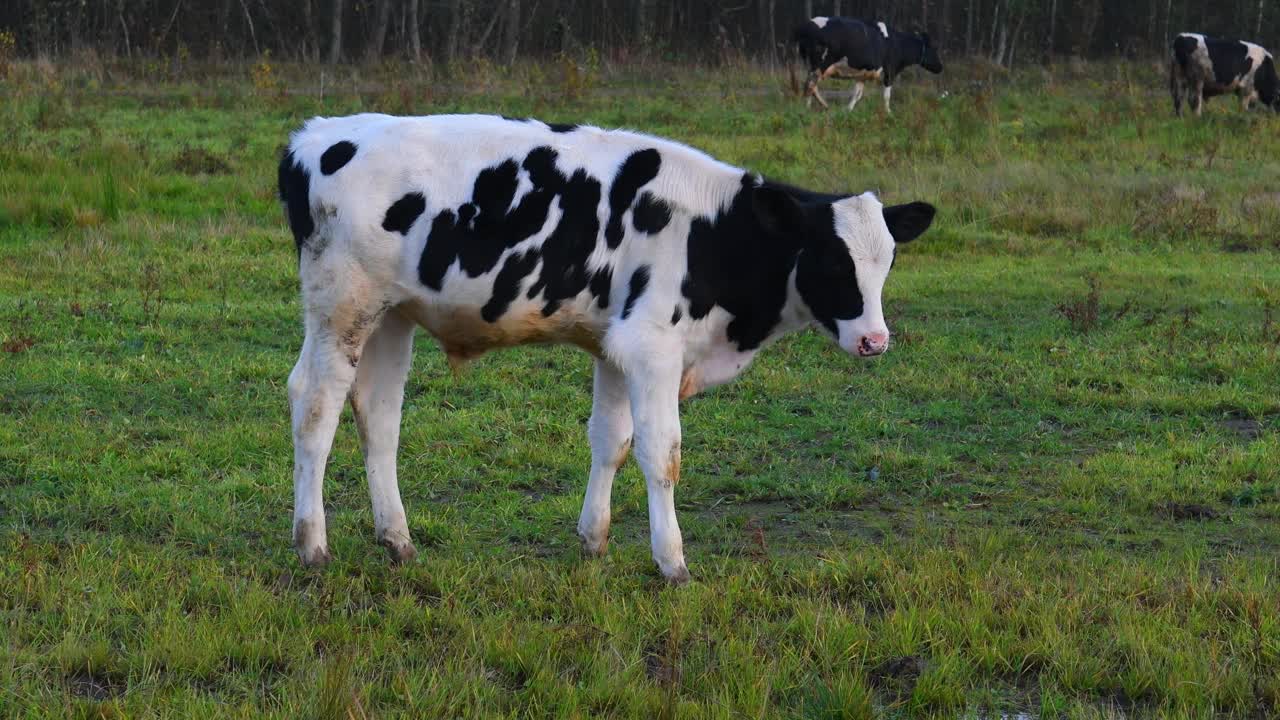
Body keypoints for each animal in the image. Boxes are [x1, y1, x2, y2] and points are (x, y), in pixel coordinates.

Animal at [275, 112, 936, 584]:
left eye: (887, 261)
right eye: (831, 260)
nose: (874, 340)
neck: (711, 233)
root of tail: (317, 134)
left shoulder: (616, 348)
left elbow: (611, 441)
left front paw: (593, 539)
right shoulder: (652, 348)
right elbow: (661, 454)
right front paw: (672, 562)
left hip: (391, 315)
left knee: (378, 416)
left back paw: (398, 541)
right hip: (342, 308)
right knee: (314, 405)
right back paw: (312, 545)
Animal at [788, 16, 942, 111]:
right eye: (934, 49)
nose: (941, 67)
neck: (897, 43)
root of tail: (805, 25)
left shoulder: (862, 75)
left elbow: (857, 94)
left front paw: (847, 110)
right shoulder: (890, 71)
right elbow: (886, 95)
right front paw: (889, 113)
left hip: (811, 65)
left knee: (810, 86)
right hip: (820, 64)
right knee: (810, 86)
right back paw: (813, 108)